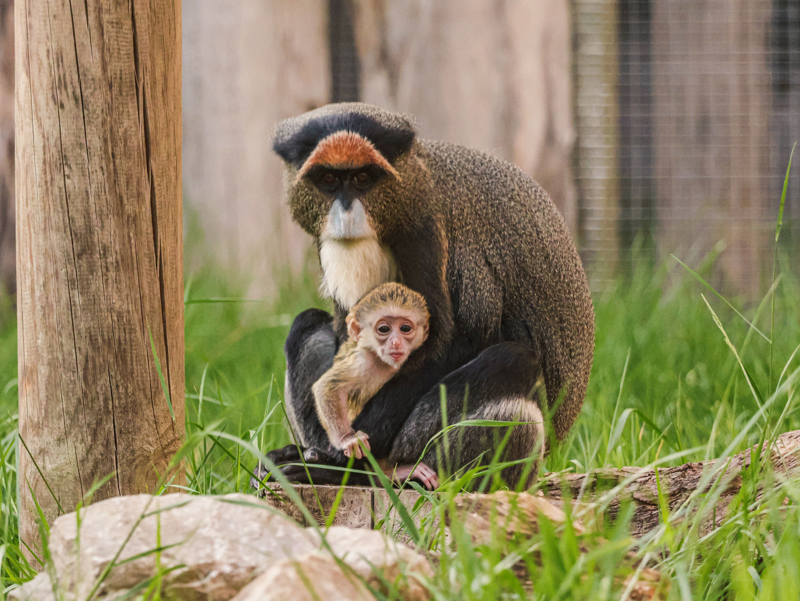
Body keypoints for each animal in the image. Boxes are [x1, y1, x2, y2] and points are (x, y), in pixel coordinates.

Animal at [252, 102, 594, 491]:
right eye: (328, 179)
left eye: (363, 178)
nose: (346, 211)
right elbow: (345, 333)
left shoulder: (424, 228)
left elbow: (452, 340)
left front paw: (338, 462)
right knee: (307, 325)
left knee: (513, 360)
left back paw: (363, 474)